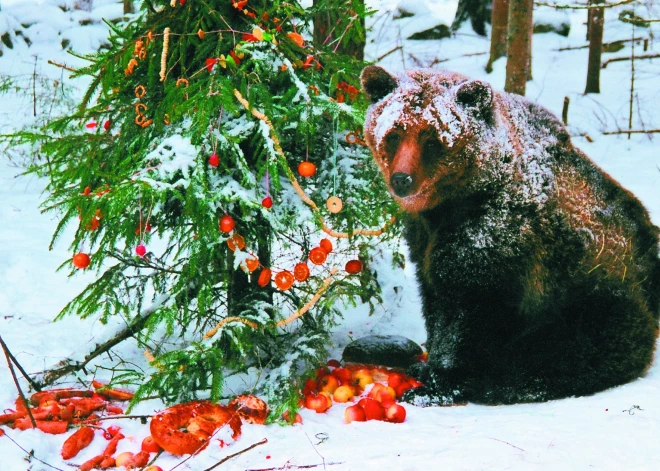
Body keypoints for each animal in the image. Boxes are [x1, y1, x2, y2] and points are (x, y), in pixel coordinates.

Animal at [360, 65, 660, 406]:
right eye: (394, 134)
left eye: (433, 140)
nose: (402, 179)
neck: (451, 202)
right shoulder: (424, 236)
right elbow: (433, 295)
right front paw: (427, 366)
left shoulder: (495, 236)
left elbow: (469, 311)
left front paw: (439, 382)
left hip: (595, 291)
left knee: (563, 349)